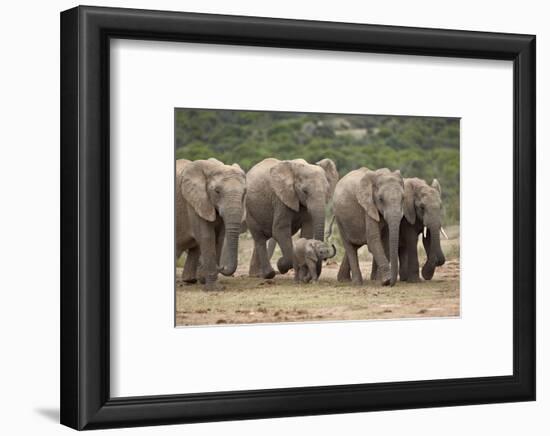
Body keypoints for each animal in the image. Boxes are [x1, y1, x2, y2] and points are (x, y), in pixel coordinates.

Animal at [177, 158, 246, 292]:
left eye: (244, 193)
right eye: (217, 191)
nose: (221, 267)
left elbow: (219, 238)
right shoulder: (194, 202)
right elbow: (207, 237)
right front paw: (214, 289)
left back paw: (190, 281)